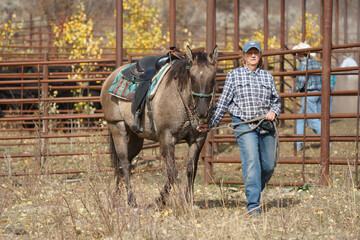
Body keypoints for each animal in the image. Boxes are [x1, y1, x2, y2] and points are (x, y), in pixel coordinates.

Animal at [101, 46, 218, 206]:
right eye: (192, 78)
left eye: (212, 78)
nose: (202, 112)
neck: (181, 99)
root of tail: (110, 77)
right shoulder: (166, 137)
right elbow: (172, 173)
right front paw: (159, 200)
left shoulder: (198, 139)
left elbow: (190, 169)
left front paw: (189, 201)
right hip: (117, 127)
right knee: (124, 163)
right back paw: (131, 201)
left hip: (136, 136)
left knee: (122, 164)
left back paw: (115, 199)